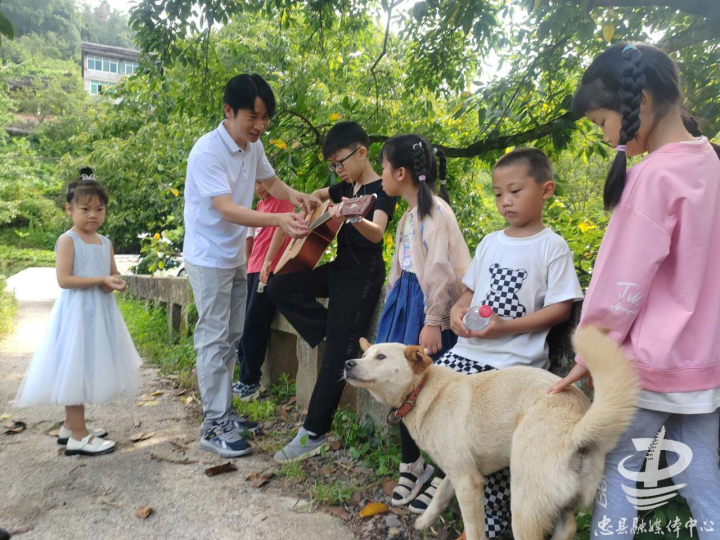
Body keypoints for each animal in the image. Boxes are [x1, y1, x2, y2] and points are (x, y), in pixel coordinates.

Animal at [346, 324, 640, 540]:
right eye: (365, 354)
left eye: (381, 357)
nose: (349, 363)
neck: (422, 391)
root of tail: (578, 425)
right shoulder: (460, 471)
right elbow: (439, 495)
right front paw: (424, 521)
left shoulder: (469, 483)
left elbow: (475, 529)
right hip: (560, 501)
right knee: (568, 528)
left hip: (524, 504)